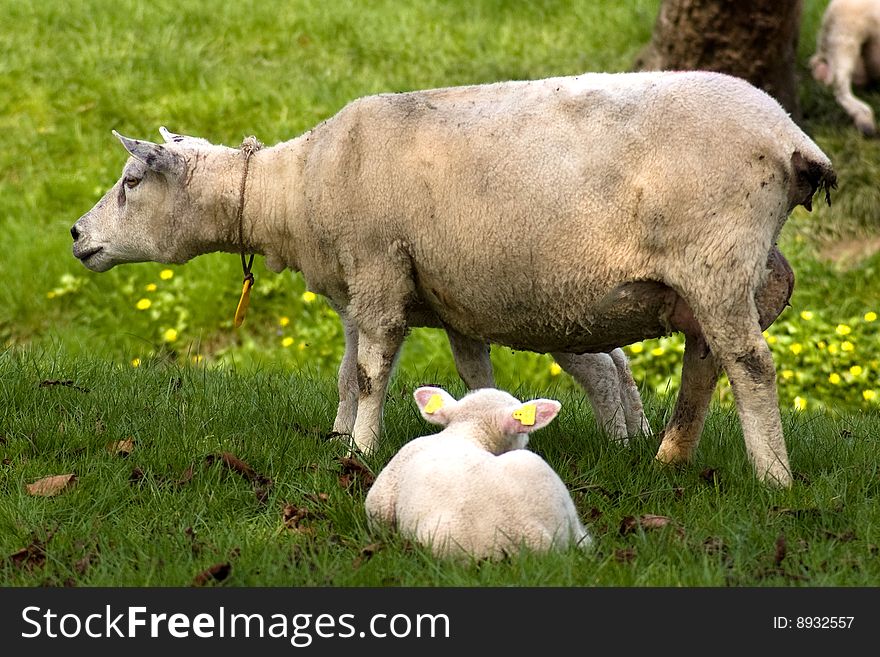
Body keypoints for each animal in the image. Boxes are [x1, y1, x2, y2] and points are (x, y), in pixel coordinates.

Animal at [70, 69, 832, 484]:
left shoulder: (379, 272)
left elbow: (370, 373)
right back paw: (669, 458)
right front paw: (343, 439)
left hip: (716, 256)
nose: (76, 235)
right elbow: (366, 374)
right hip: (714, 275)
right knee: (705, 360)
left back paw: (773, 479)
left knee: (750, 364)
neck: (292, 191)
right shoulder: (387, 291)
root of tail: (794, 140)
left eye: (131, 181)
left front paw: (362, 453)